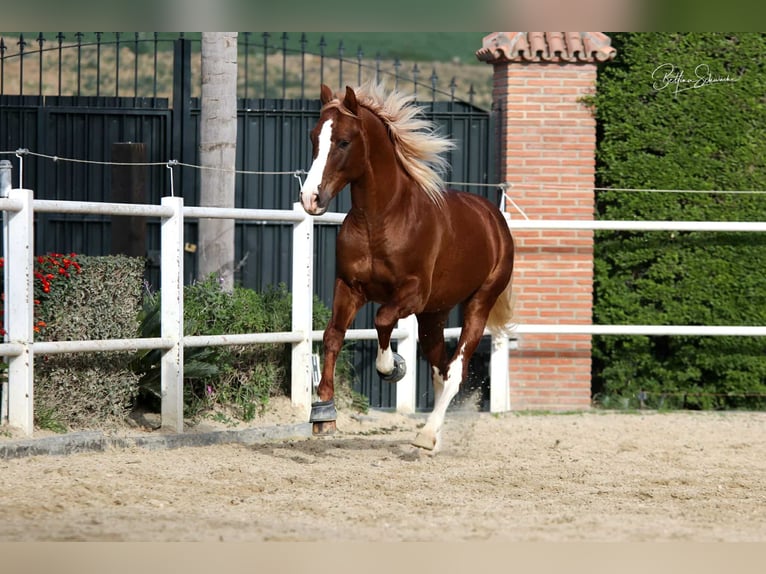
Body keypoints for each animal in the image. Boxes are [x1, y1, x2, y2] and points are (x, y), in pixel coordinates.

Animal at [302, 84, 516, 454]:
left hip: (478, 303)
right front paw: (324, 413)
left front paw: (393, 368)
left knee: (455, 370)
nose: (310, 198)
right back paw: (436, 434)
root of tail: (494, 219)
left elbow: (382, 320)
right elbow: (332, 336)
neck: (381, 219)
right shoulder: (348, 286)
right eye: (315, 137)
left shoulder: (412, 294)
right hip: (434, 314)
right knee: (440, 368)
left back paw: (427, 436)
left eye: (343, 141)